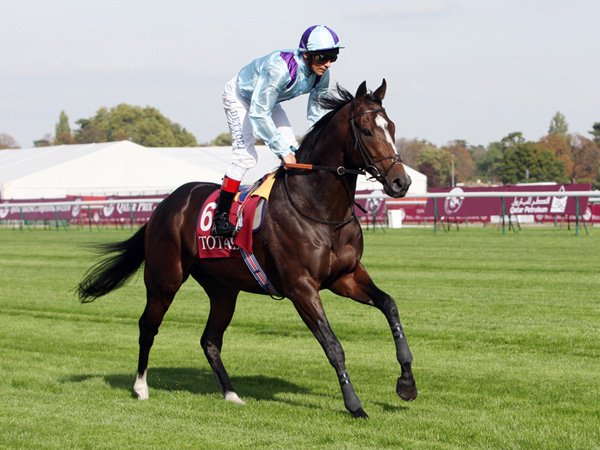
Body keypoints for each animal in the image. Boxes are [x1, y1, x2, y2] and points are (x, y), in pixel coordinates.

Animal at [78, 79, 418, 418]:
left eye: (392, 127)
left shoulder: (345, 276)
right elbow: (333, 345)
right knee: (148, 326)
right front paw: (354, 404)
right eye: (366, 130)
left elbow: (390, 306)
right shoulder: (301, 287)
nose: (401, 182)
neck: (317, 206)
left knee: (210, 340)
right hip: (165, 279)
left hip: (223, 289)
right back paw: (140, 387)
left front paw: (406, 383)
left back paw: (231, 393)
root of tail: (164, 205)